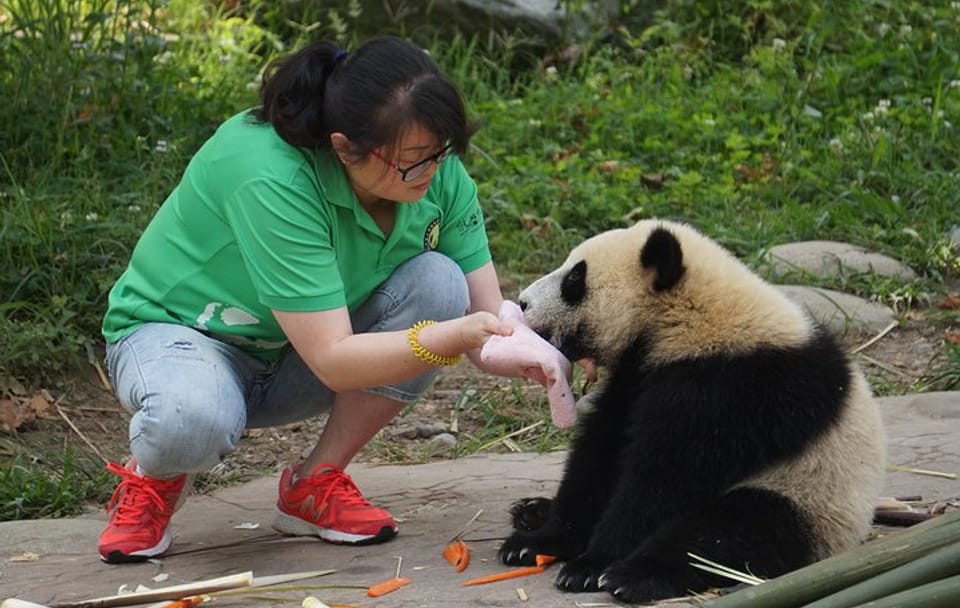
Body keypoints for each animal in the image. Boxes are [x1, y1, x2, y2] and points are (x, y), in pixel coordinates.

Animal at [499, 219, 886, 604]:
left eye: (575, 279)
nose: (523, 301)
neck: (691, 318)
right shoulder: (639, 376)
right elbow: (601, 455)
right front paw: (537, 542)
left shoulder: (732, 389)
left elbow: (665, 479)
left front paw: (590, 565)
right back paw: (531, 510)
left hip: (808, 497)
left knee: (726, 533)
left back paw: (634, 576)